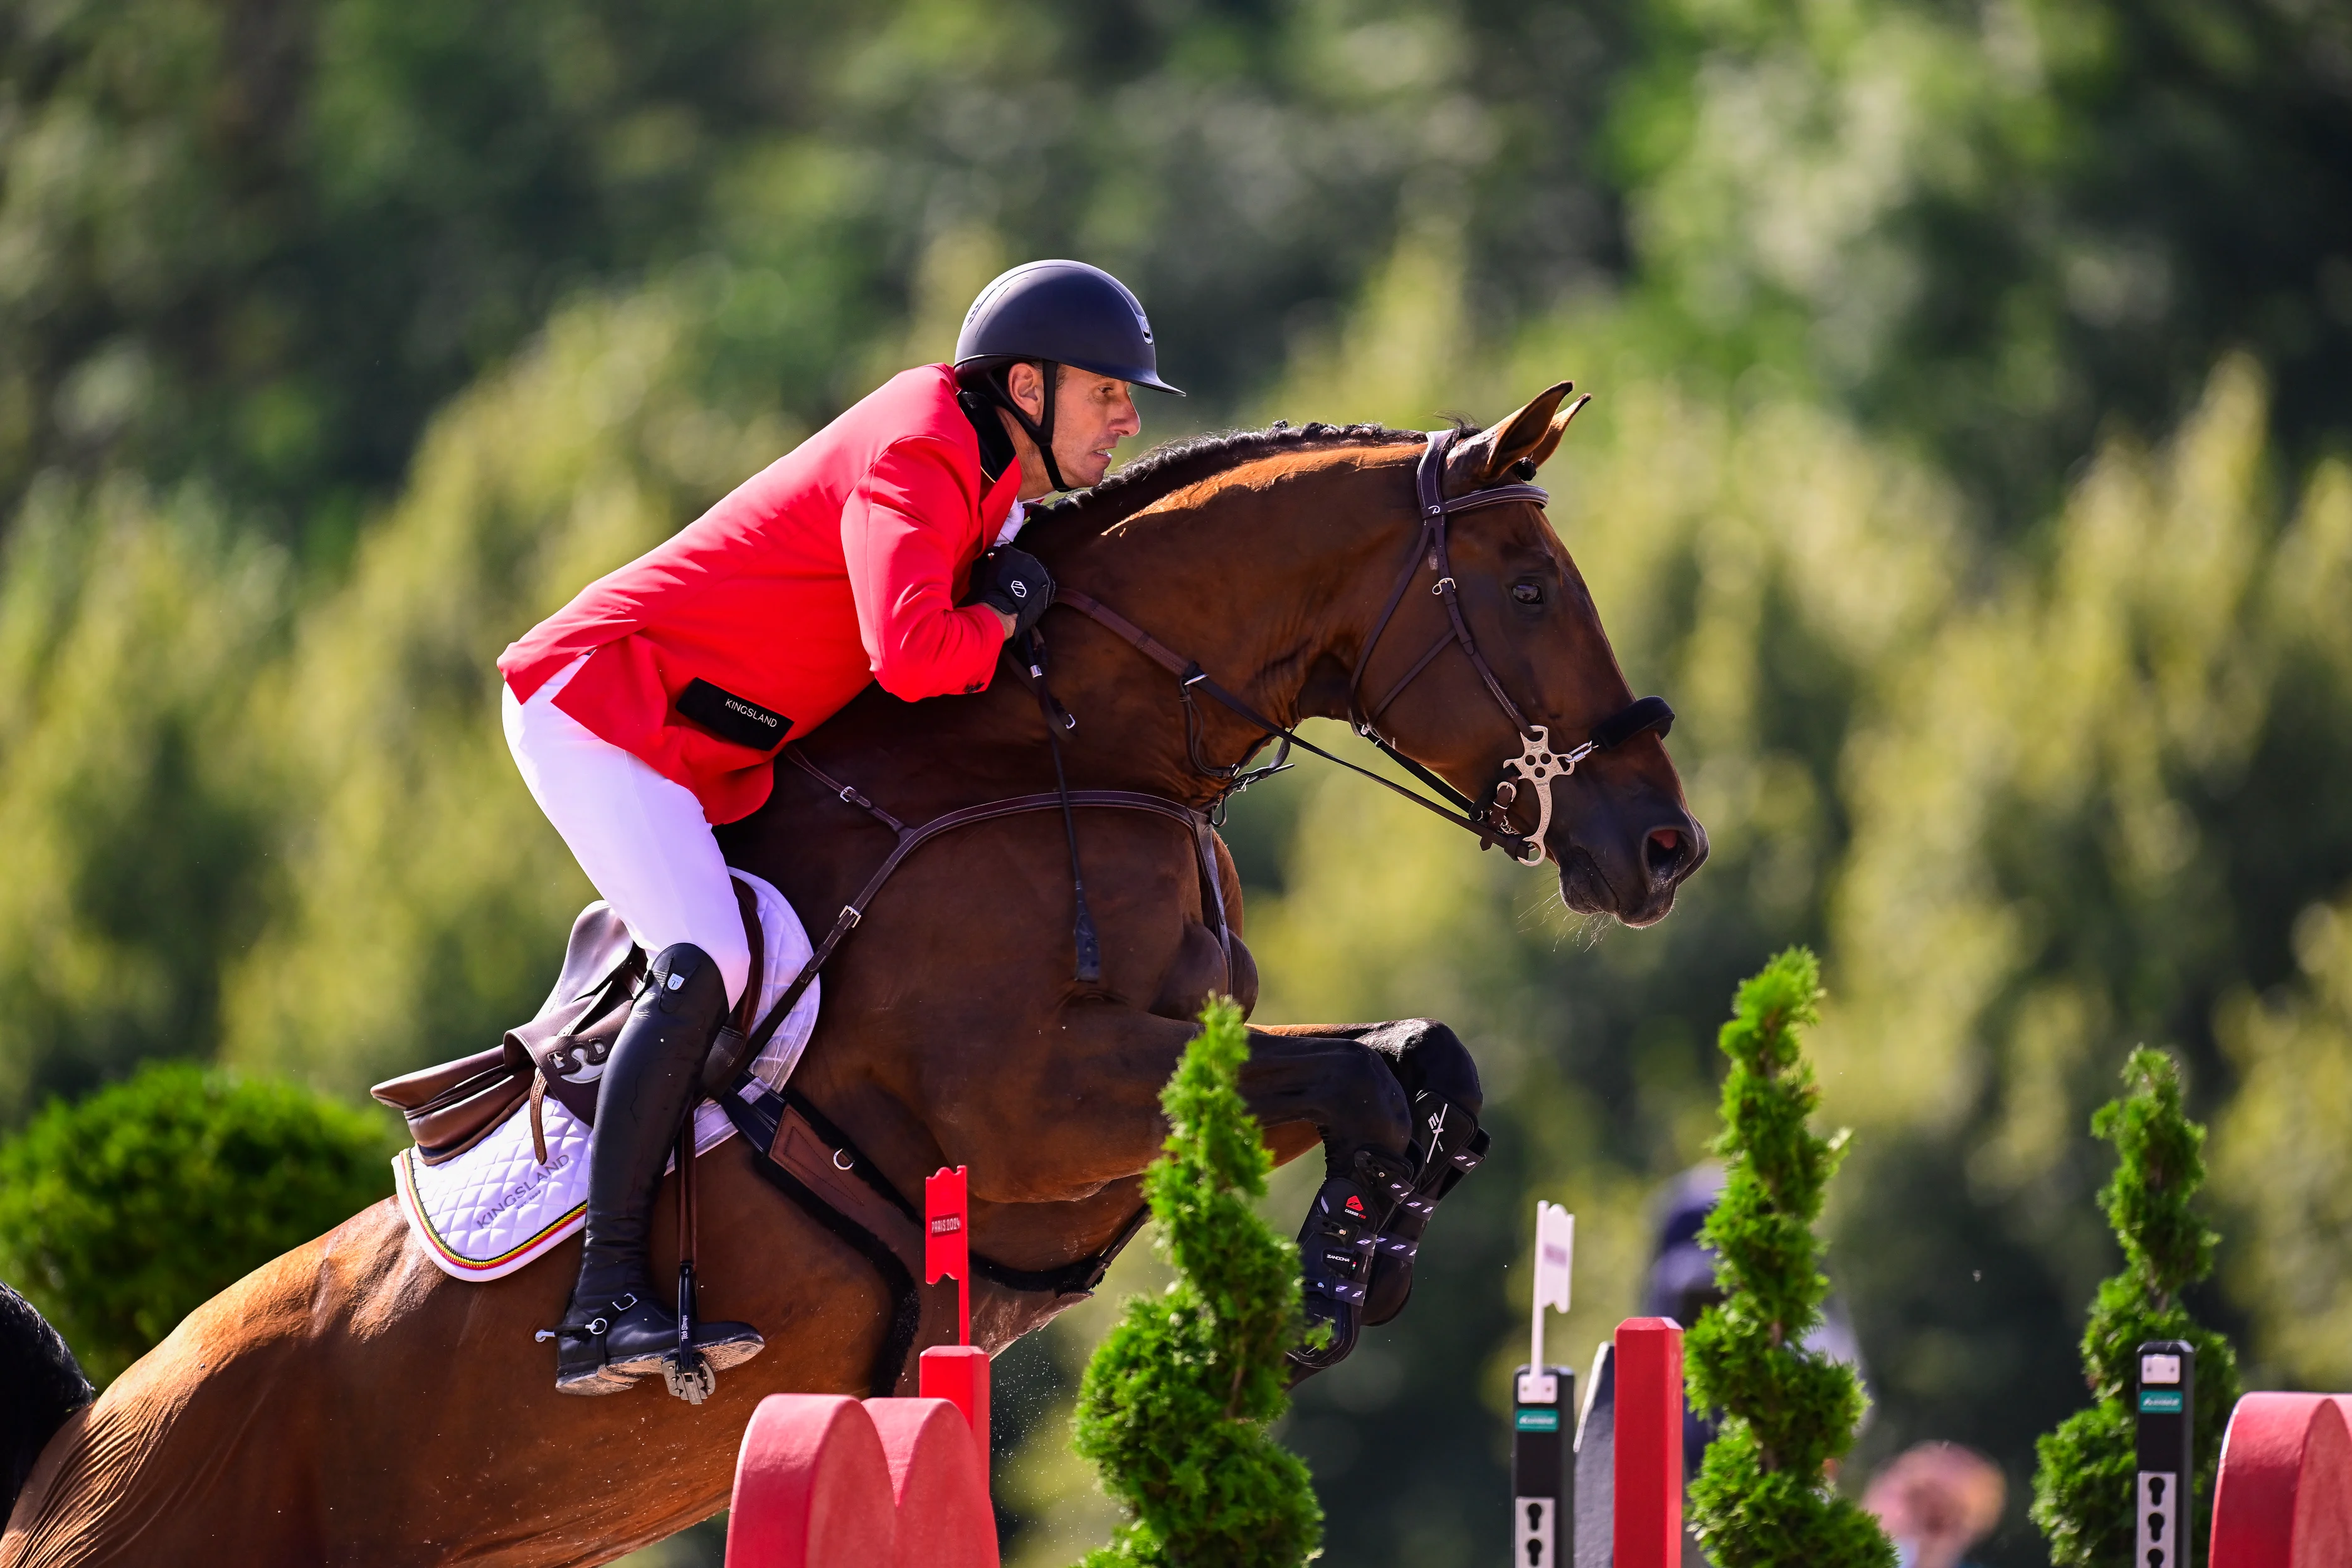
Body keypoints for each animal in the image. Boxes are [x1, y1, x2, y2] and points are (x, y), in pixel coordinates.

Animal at [0, 383, 1703, 1568]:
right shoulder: (1040, 1109)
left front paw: (1367, 1244)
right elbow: (1365, 1068)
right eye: (1531, 588)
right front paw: (1349, 1258)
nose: (1665, 845)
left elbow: (1416, 1056)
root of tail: (67, 1454)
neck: (1071, 752)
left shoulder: (1175, 1069)